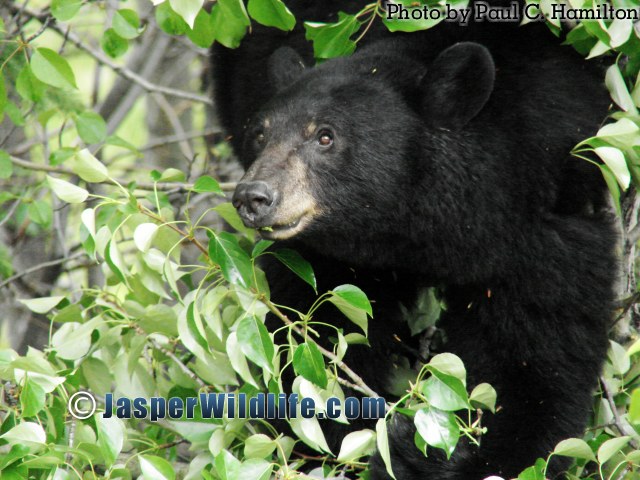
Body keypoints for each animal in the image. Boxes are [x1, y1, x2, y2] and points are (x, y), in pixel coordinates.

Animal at [212, 1, 616, 478]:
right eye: (260, 134)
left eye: (325, 135)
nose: (253, 197)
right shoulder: (328, 255)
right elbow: (317, 339)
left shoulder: (546, 222)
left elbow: (531, 362)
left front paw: (438, 456)